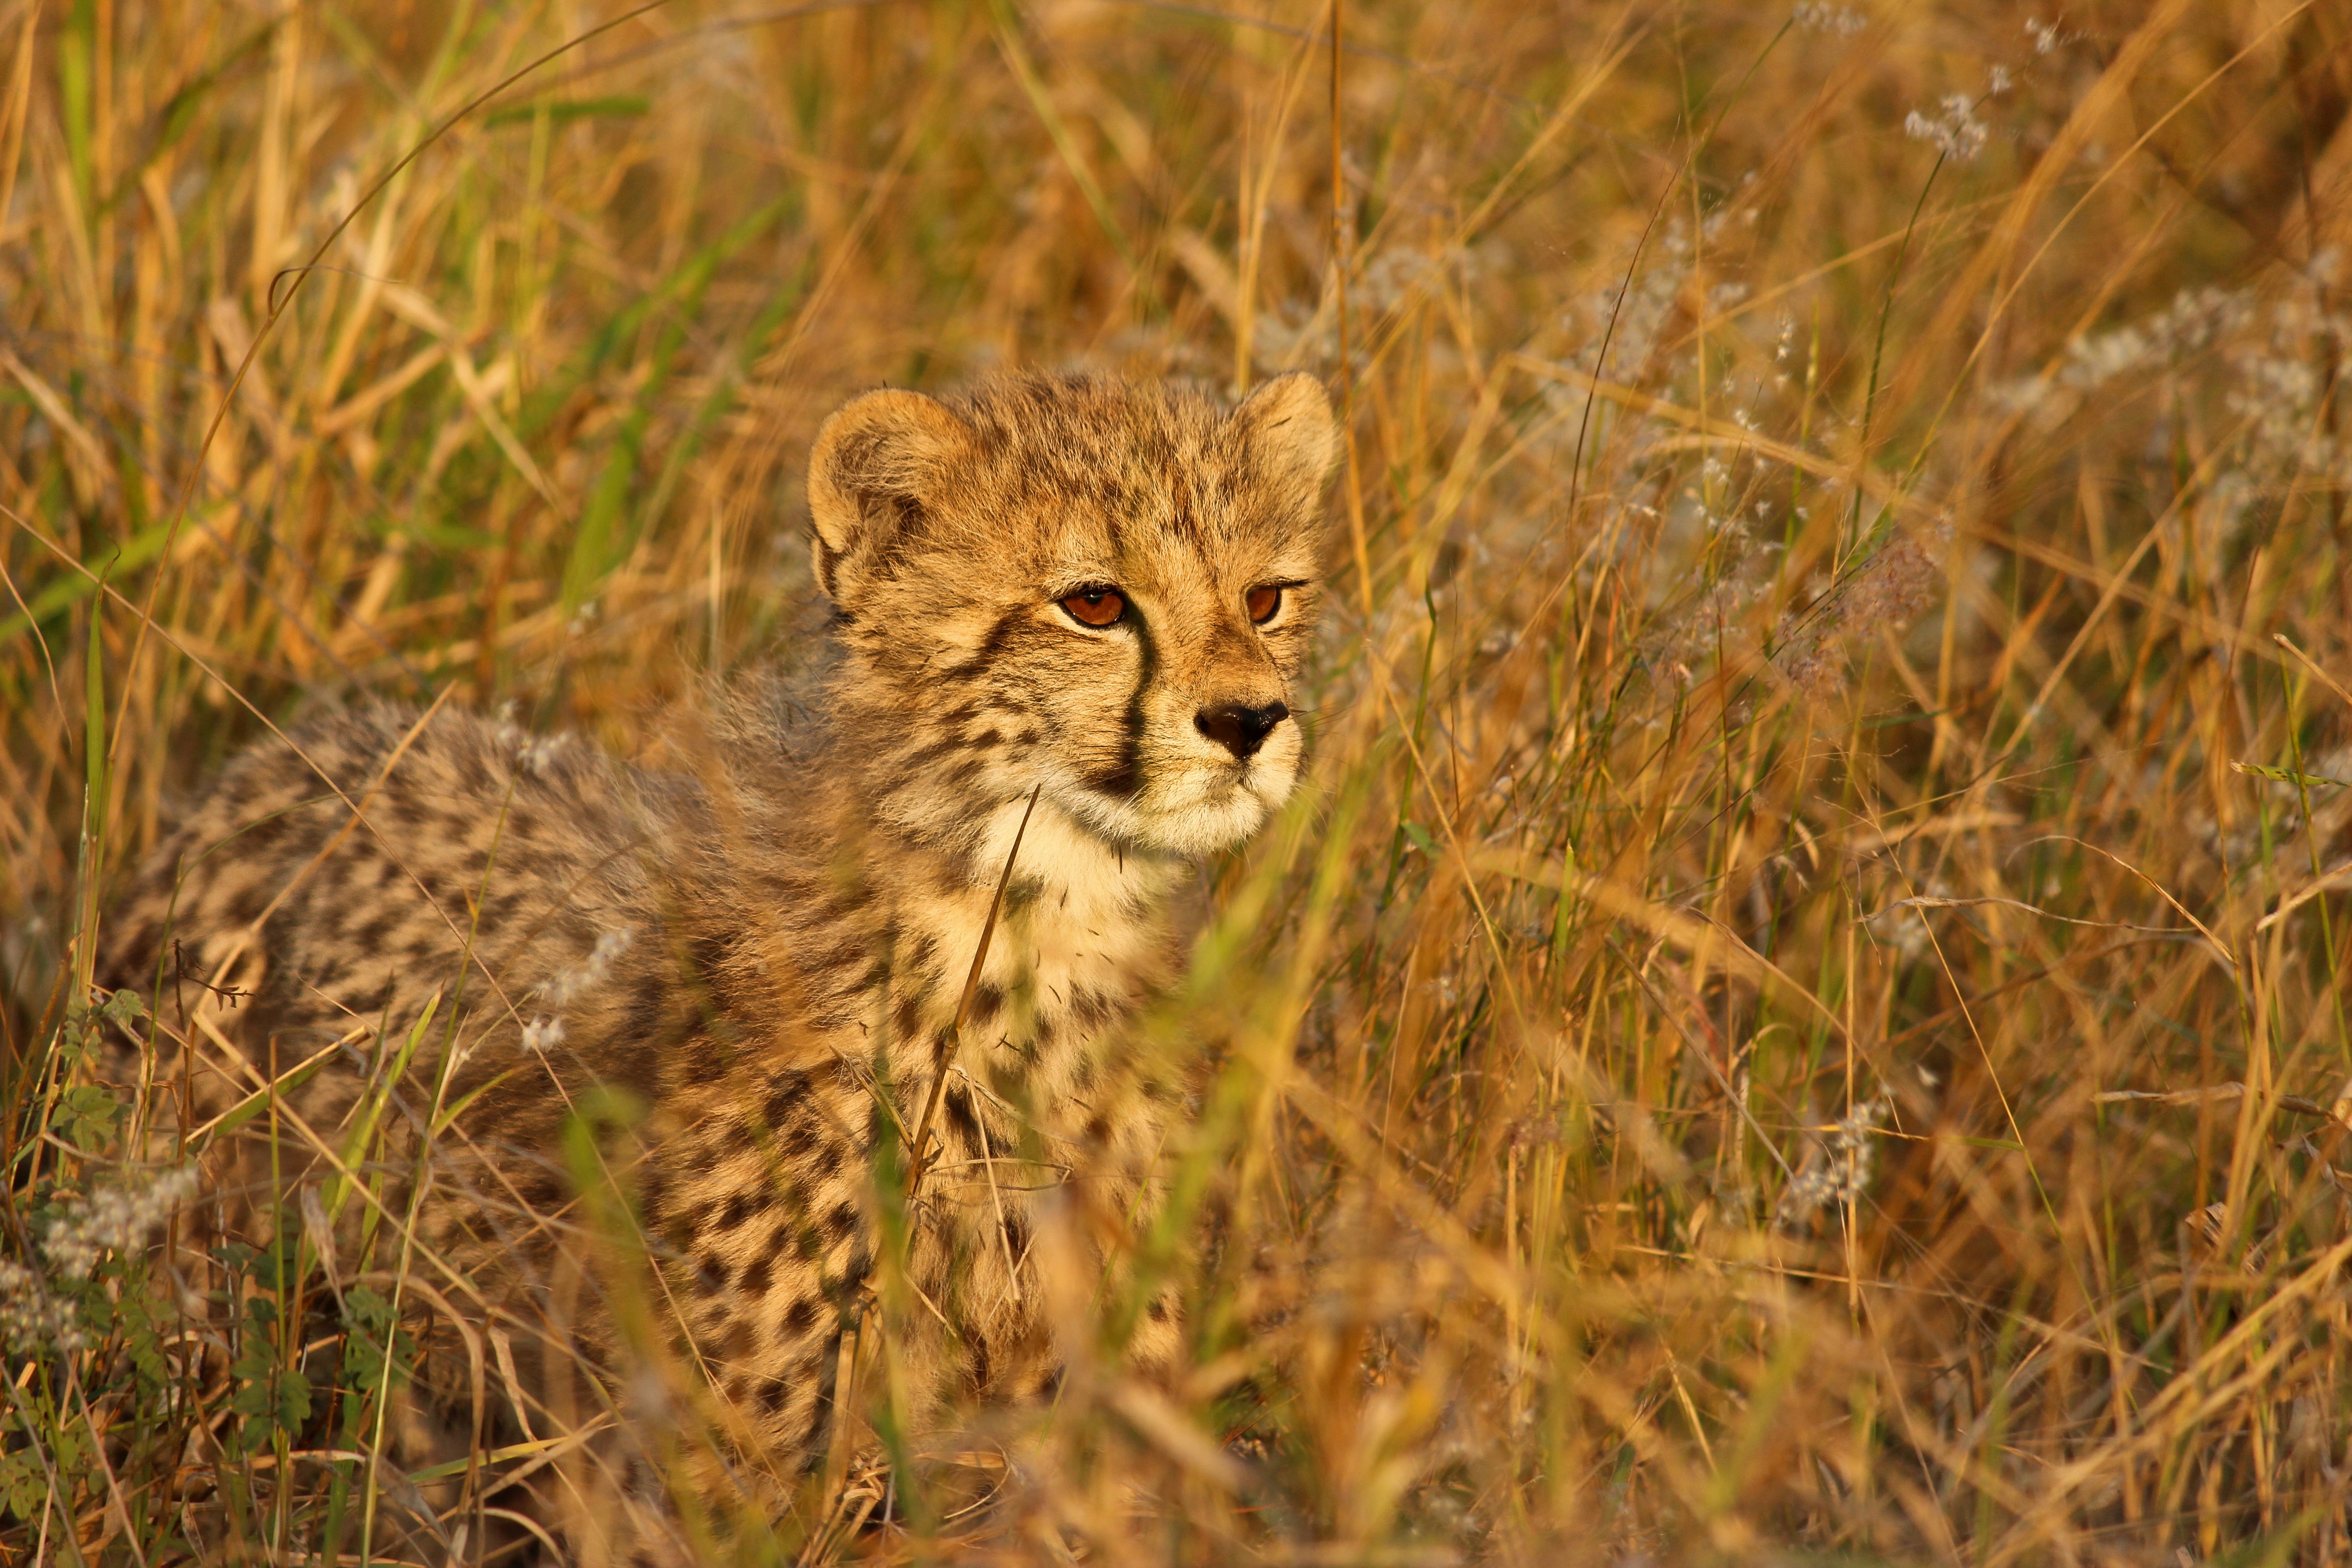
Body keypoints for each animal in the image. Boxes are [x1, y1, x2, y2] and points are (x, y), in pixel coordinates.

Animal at [99, 368, 1340, 1562]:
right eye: (1093, 604)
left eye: (1266, 598)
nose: (1251, 720)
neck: (1031, 929)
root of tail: (284, 751)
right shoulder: (728, 1481)